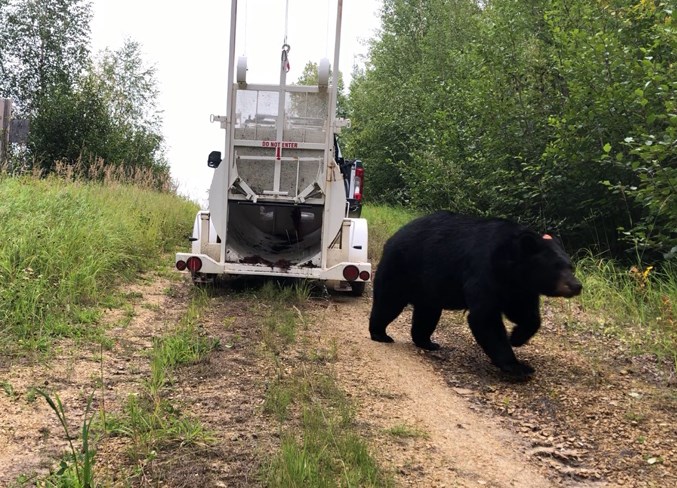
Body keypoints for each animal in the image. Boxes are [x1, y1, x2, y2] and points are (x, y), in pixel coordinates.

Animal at [370, 212, 580, 380]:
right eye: (556, 267)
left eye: (570, 266)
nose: (577, 286)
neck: (509, 266)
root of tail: (393, 236)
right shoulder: (484, 270)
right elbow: (485, 317)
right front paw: (517, 366)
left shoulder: (518, 288)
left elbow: (526, 313)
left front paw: (517, 337)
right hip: (402, 268)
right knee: (388, 302)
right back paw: (380, 334)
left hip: (428, 288)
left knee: (427, 314)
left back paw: (427, 342)